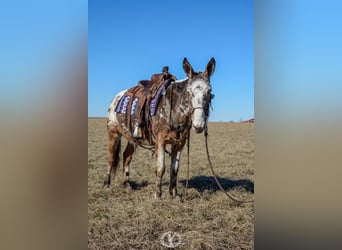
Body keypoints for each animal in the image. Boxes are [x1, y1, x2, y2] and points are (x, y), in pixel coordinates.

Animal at [105, 57, 215, 199]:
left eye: (209, 91)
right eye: (189, 92)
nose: (198, 124)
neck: (172, 108)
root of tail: (117, 98)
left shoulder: (179, 143)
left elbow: (174, 169)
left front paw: (174, 194)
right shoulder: (161, 141)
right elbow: (160, 168)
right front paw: (158, 194)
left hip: (132, 139)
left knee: (126, 156)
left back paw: (127, 184)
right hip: (113, 133)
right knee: (111, 158)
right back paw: (106, 184)